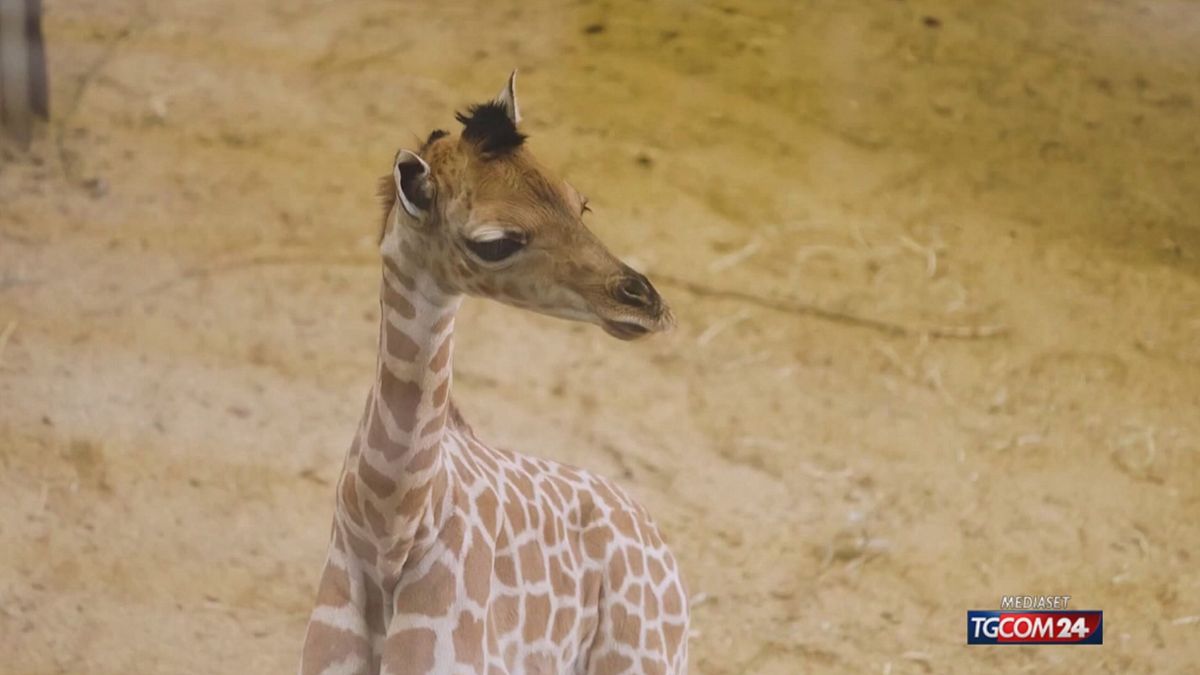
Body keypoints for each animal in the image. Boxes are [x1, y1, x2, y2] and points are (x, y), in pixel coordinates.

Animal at [299, 72, 689, 675]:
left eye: (580, 203)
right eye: (496, 242)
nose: (647, 304)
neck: (389, 529)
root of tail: (654, 534)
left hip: (644, 660)